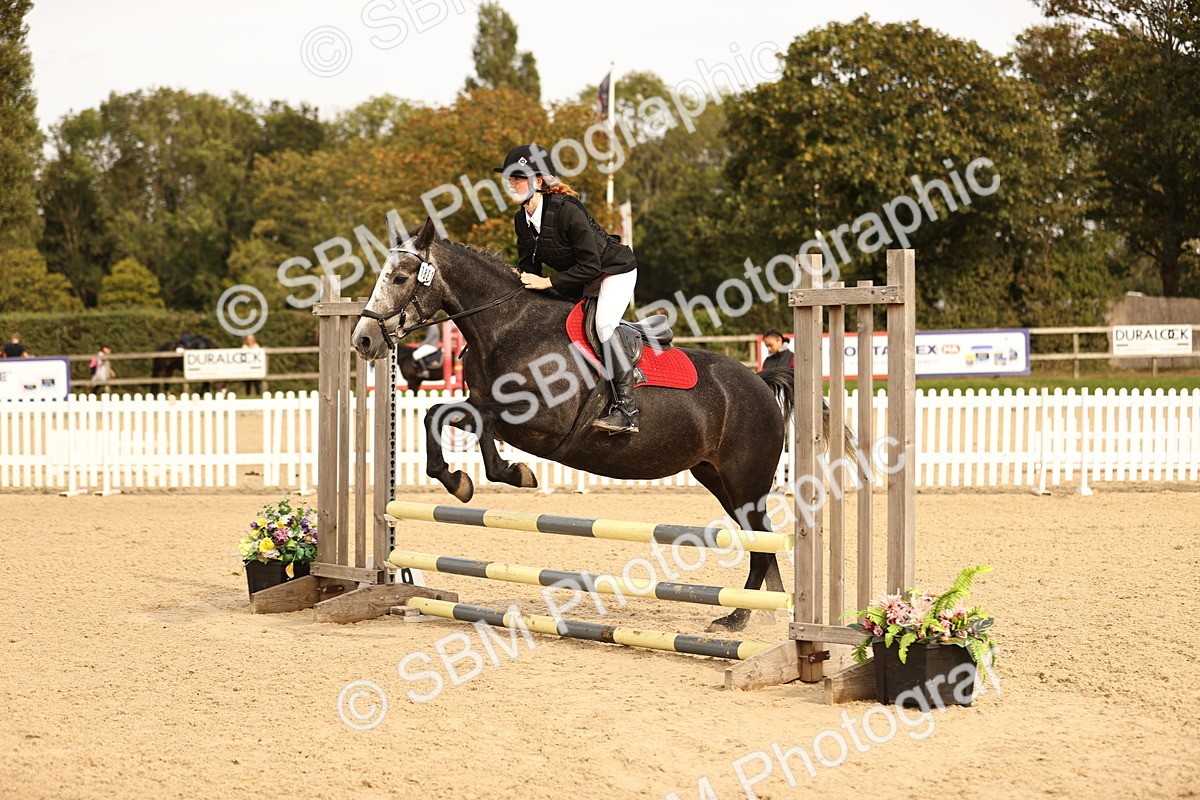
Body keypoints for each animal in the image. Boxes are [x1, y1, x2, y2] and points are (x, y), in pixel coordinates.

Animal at [352, 218, 826, 633]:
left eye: (399, 278)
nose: (363, 340)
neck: (506, 326)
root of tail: (759, 381)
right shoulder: (489, 406)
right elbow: (440, 415)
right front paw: (462, 480)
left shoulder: (541, 421)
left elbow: (475, 423)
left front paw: (505, 474)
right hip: (717, 477)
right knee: (760, 541)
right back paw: (758, 616)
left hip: (745, 478)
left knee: (761, 542)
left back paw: (735, 620)